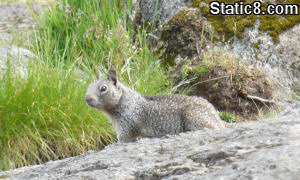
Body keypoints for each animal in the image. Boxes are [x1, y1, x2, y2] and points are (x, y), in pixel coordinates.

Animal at [85, 69, 226, 143]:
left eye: (103, 88)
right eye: (88, 86)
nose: (87, 98)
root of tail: (216, 115)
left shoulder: (127, 122)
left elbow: (124, 137)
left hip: (194, 116)